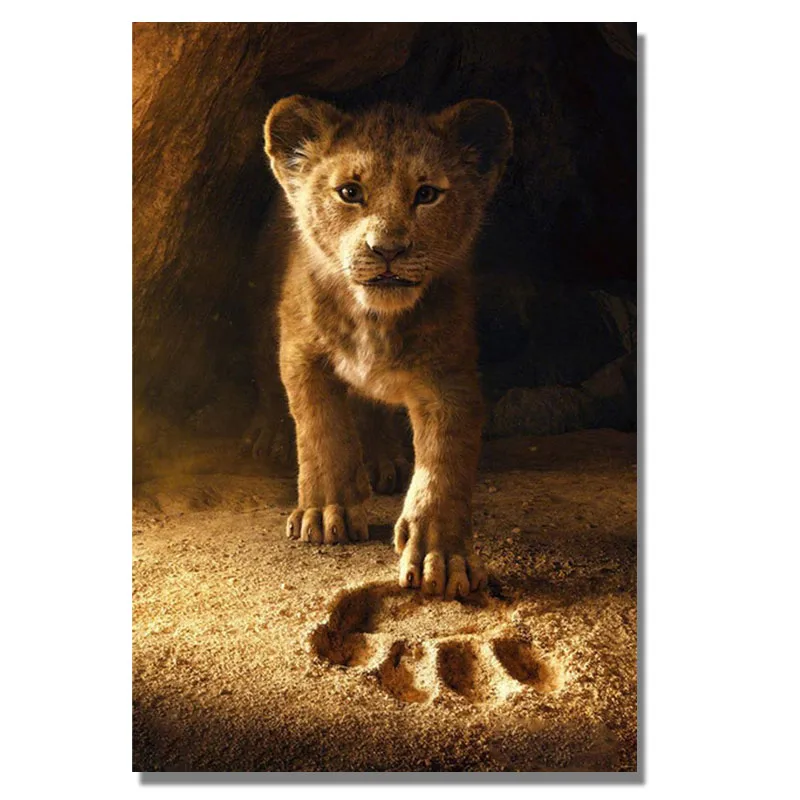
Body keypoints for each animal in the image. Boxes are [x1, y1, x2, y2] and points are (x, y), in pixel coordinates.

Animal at [262, 95, 513, 599]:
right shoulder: (301, 352)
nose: (388, 250)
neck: (374, 318)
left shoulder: (450, 377)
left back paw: (384, 461)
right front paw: (326, 512)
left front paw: (442, 555)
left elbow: (444, 462)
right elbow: (321, 430)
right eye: (349, 192)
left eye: (427, 194)